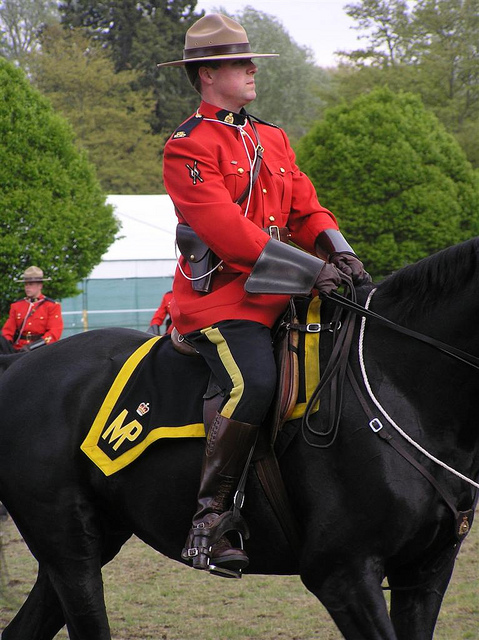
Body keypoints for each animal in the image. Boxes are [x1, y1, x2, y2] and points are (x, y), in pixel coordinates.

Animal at [0, 238, 479, 636]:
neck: (401, 385)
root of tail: (19, 365)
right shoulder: (343, 572)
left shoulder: (424, 576)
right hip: (69, 549)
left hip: (91, 540)